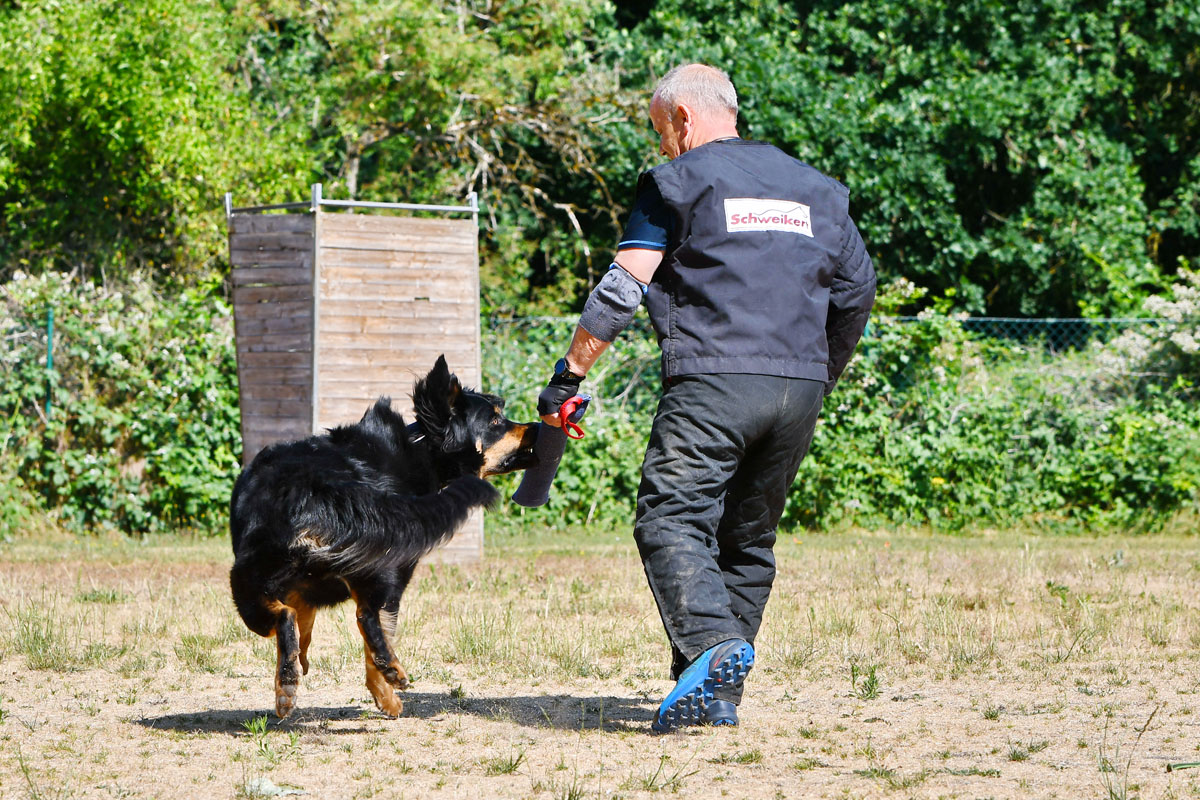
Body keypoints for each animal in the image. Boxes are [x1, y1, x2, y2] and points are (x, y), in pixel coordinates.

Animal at [230, 357, 540, 719]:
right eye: (494, 420)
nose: (536, 426)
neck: (424, 450)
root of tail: (315, 486)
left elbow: (304, 618)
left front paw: (298, 661)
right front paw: (385, 692)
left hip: (248, 576)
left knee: (288, 615)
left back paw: (287, 683)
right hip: (384, 567)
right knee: (362, 617)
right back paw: (390, 678)